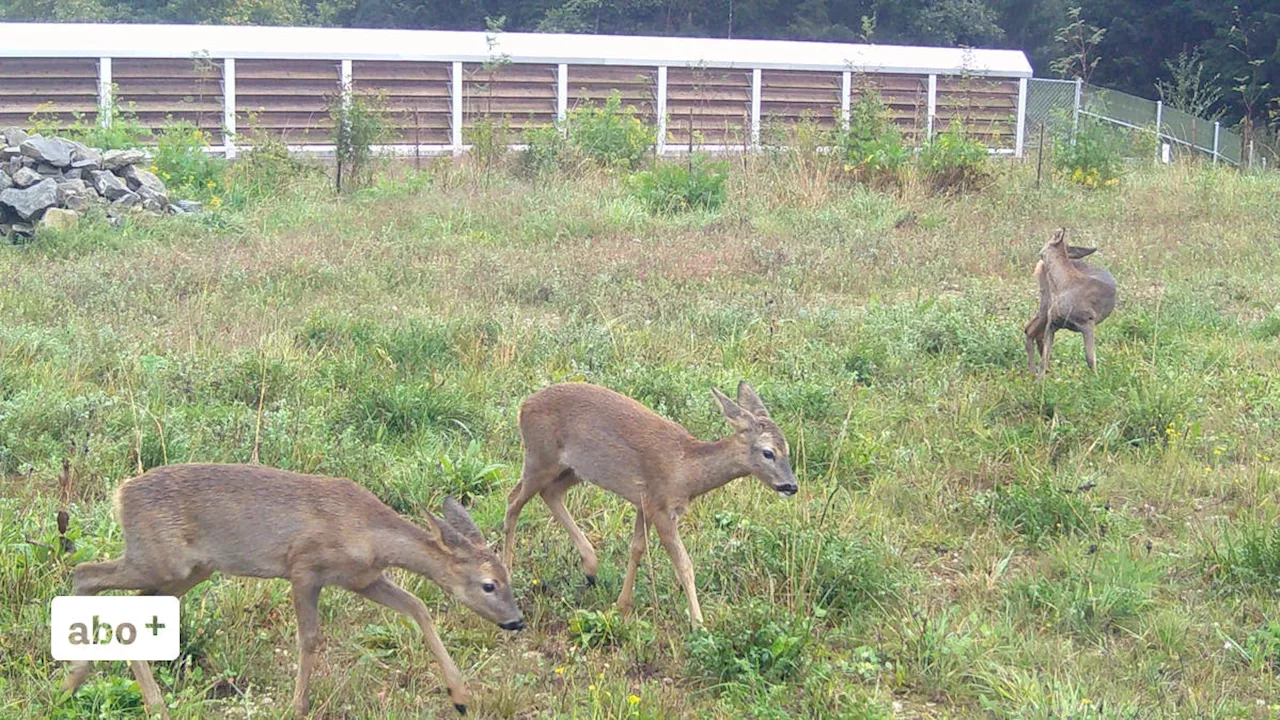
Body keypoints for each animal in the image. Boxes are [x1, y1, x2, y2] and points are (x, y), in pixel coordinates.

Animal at [63, 461, 524, 712]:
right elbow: (310, 638)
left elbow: (418, 608)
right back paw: (95, 686)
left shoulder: (363, 579)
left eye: (508, 577)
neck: (369, 534)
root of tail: (121, 493)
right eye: (488, 585)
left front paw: (460, 695)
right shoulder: (303, 567)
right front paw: (299, 705)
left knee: (127, 608)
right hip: (158, 561)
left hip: (190, 572)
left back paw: (97, 689)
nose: (516, 621)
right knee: (84, 572)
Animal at [501, 379, 793, 625]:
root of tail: (523, 406)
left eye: (788, 449)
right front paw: (699, 624)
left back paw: (590, 567)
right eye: (768, 452)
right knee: (514, 500)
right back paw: (508, 572)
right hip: (540, 457)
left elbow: (637, 548)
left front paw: (622, 605)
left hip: (572, 470)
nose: (791, 486)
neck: (687, 471)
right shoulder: (661, 507)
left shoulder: (644, 503)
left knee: (549, 493)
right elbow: (684, 564)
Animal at [1024, 228, 1116, 376]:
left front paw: (1096, 378)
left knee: (1032, 332)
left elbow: (1090, 358)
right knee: (1030, 331)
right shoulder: (1053, 323)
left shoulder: (1088, 321)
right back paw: (1034, 373)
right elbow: (1045, 358)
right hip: (1045, 305)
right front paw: (1040, 380)